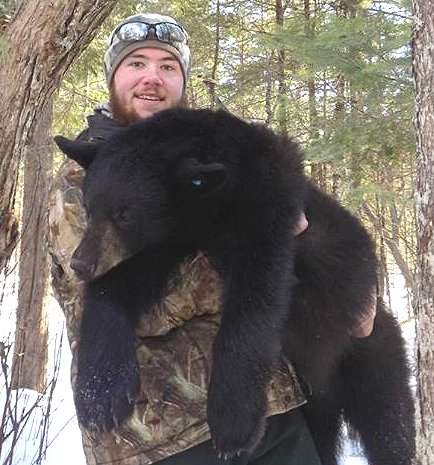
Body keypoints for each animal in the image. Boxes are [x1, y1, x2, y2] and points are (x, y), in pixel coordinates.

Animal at [56, 108, 416, 464]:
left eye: (124, 214)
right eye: (88, 207)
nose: (79, 263)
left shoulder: (268, 205)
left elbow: (255, 298)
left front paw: (233, 423)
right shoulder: (176, 237)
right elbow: (121, 283)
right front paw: (100, 392)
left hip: (371, 355)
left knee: (391, 424)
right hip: (316, 409)